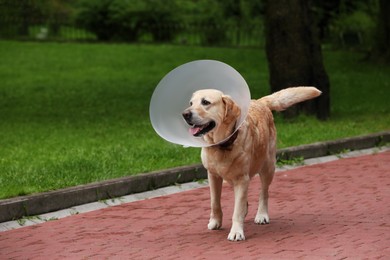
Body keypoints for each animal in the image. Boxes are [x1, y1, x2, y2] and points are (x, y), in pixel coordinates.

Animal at [182, 86, 320, 241]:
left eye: (205, 102)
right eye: (191, 103)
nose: (185, 114)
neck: (223, 144)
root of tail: (260, 101)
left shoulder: (242, 179)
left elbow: (237, 210)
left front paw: (236, 232)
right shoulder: (213, 176)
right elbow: (215, 202)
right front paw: (215, 222)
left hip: (268, 167)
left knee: (264, 193)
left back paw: (262, 215)